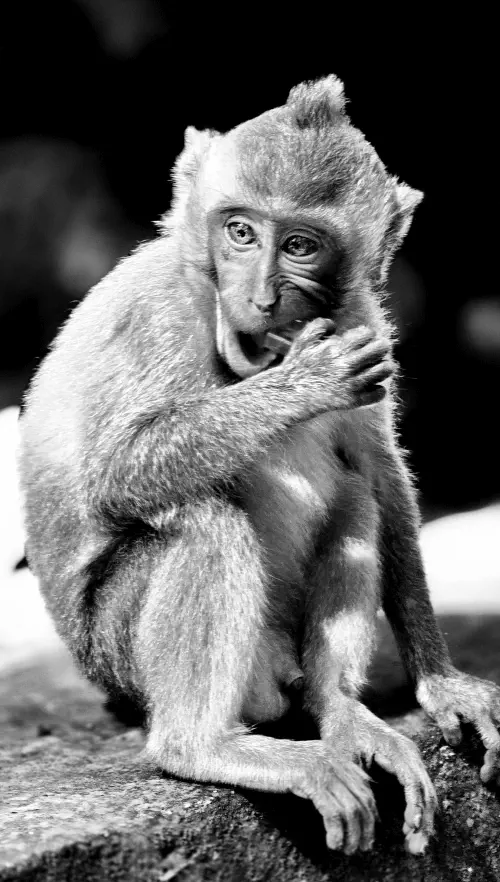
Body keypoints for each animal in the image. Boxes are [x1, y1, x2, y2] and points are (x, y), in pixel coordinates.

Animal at [18, 75, 500, 856]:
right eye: (241, 232)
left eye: (300, 245)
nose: (261, 296)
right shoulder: (156, 312)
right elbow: (116, 471)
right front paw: (304, 384)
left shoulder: (361, 315)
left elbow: (381, 472)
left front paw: (441, 682)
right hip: (120, 658)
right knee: (204, 522)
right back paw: (200, 746)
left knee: (355, 495)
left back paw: (340, 710)